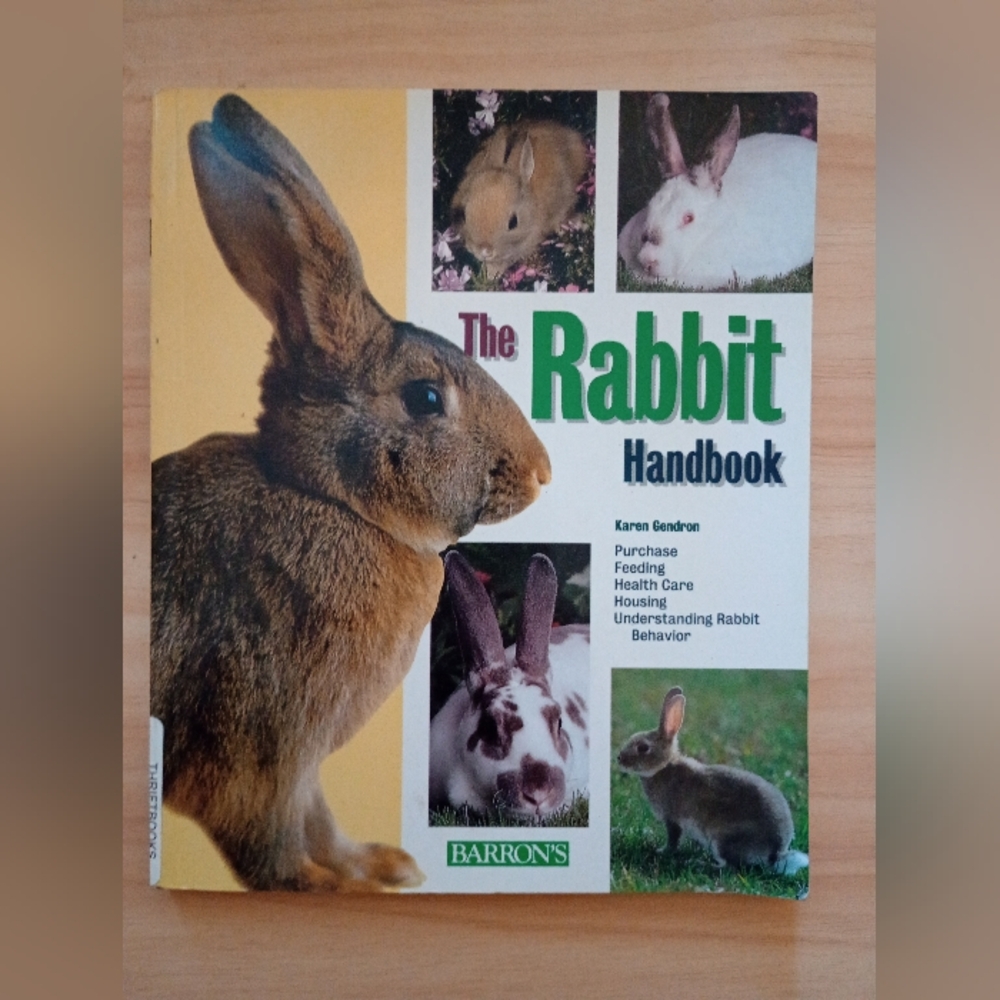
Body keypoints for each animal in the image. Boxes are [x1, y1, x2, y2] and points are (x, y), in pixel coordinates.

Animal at [150, 94, 552, 892]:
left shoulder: (299, 768)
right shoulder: (259, 749)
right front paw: (325, 888)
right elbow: (269, 841)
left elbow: (318, 820)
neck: (333, 501)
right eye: (426, 397)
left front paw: (377, 865)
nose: (541, 470)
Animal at [617, 686, 809, 874]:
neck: (663, 766)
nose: (619, 758)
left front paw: (662, 851)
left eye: (643, 748)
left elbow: (673, 839)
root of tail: (774, 852)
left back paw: (700, 863)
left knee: (730, 866)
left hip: (723, 840)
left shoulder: (672, 819)